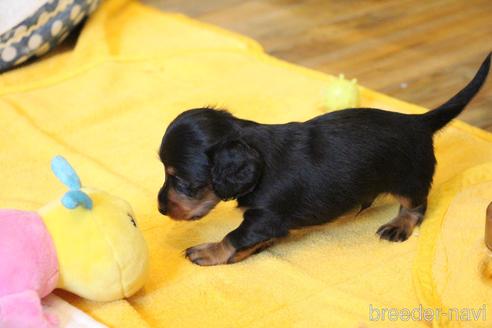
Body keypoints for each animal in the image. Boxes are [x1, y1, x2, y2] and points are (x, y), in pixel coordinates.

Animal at [160, 54, 490, 266]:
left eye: (184, 182)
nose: (161, 209)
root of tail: (418, 122)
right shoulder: (267, 222)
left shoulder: (265, 217)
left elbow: (234, 237)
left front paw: (210, 251)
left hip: (409, 179)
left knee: (416, 206)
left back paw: (398, 225)